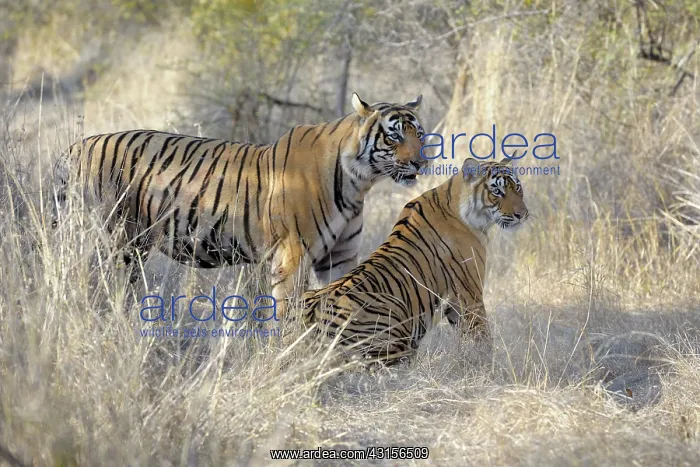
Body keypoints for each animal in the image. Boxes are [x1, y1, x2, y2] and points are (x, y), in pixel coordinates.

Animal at [53, 93, 428, 319]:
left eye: (419, 134)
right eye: (394, 136)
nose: (422, 163)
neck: (358, 182)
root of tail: (73, 148)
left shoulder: (339, 257)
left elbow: (342, 301)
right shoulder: (292, 256)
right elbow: (286, 313)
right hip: (113, 240)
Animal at [300, 157, 529, 365]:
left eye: (517, 187)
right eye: (497, 191)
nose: (522, 215)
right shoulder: (470, 295)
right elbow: (483, 337)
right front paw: (491, 365)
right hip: (394, 312)